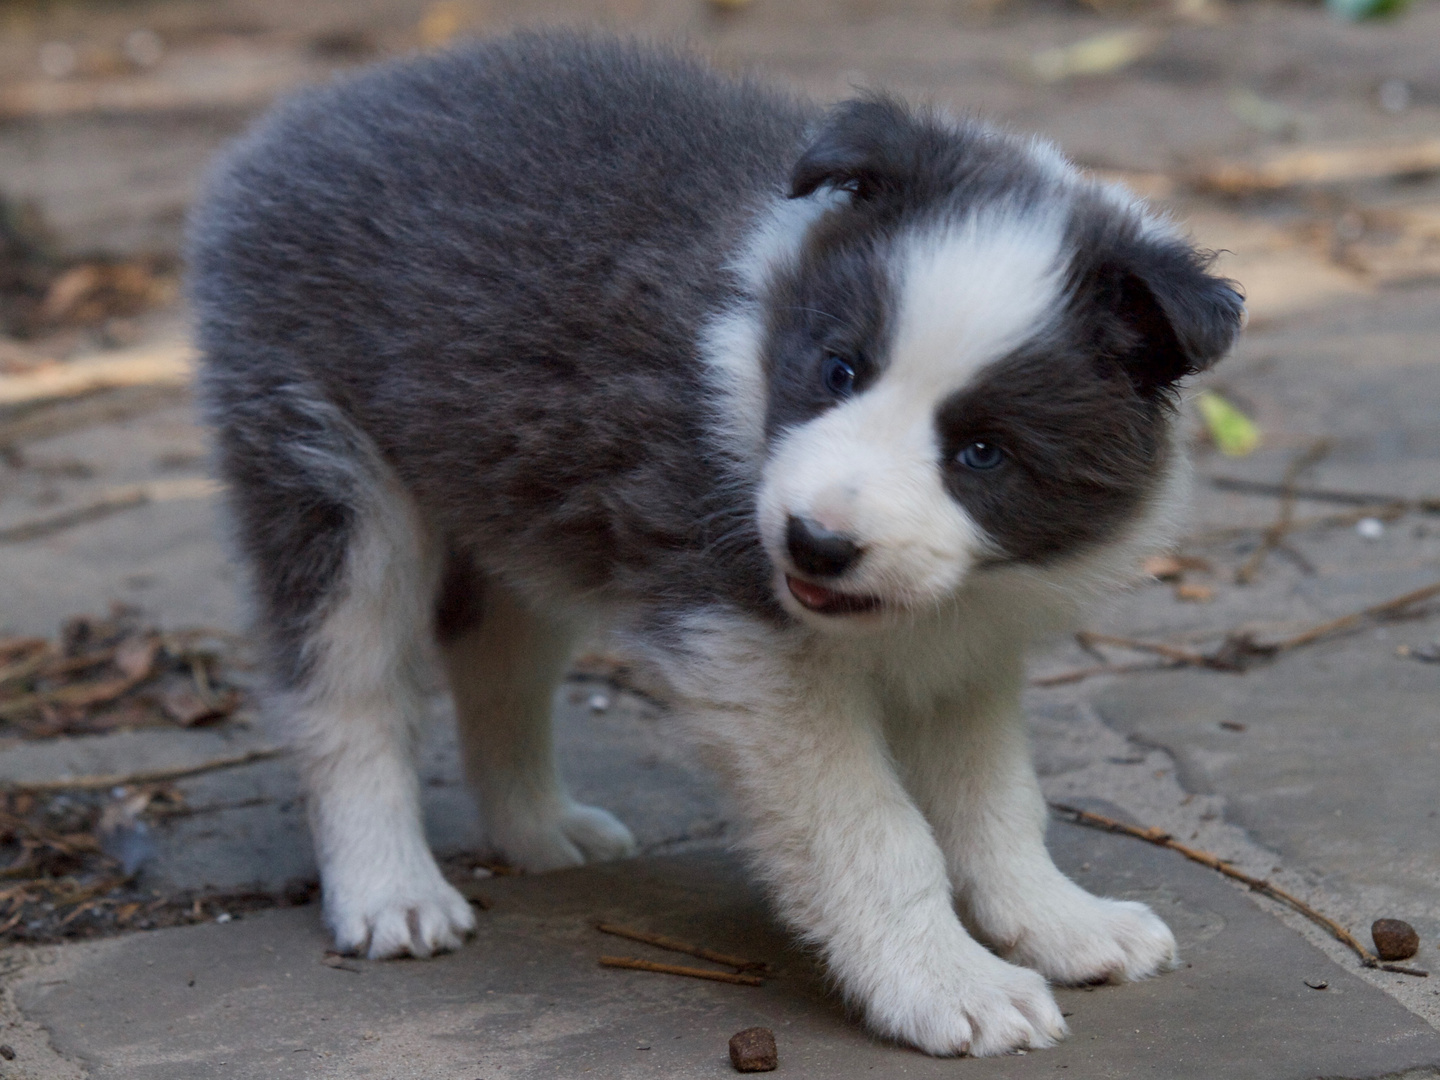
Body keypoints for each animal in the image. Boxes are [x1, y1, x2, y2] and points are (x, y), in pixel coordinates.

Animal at [188, 31, 1249, 1059]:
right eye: (839, 369)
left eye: (982, 452)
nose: (814, 544)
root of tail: (313, 111)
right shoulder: (746, 640)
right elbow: (873, 828)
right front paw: (949, 986)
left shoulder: (966, 644)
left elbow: (994, 800)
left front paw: (1061, 923)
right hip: (329, 462)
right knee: (348, 688)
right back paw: (391, 892)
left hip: (515, 496)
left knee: (498, 666)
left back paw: (540, 828)